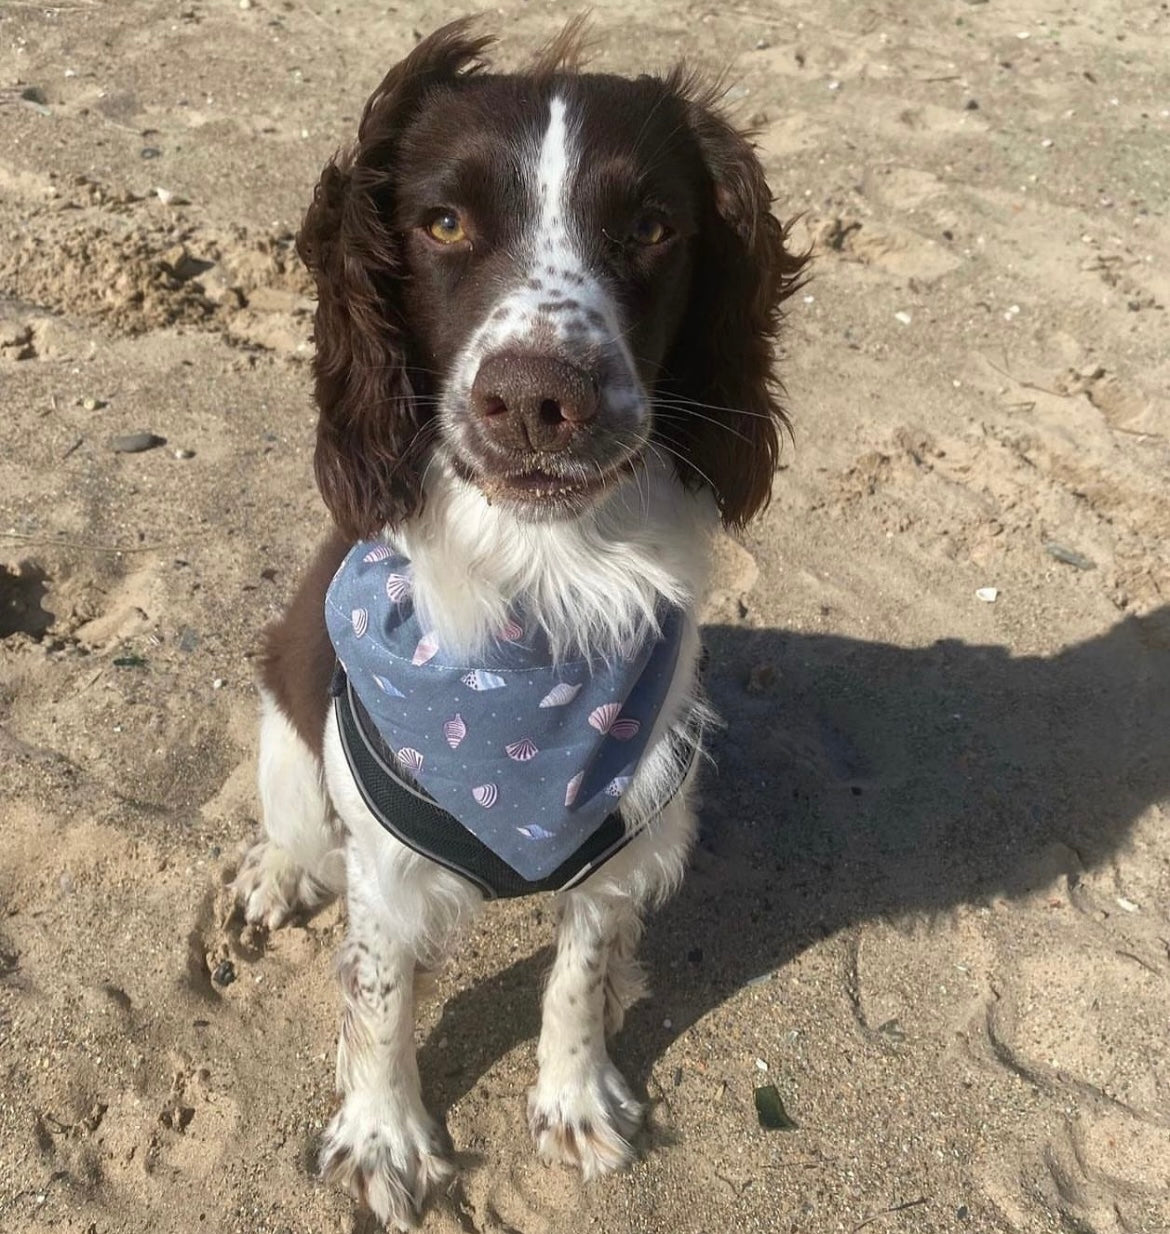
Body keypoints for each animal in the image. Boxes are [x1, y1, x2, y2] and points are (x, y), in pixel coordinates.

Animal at [236, 21, 804, 1234]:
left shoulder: (631, 814)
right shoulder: (386, 855)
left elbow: (580, 971)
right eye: (442, 222)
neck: (540, 599)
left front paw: (576, 1099)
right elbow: (379, 996)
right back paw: (273, 876)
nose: (543, 397)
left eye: (652, 226)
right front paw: (385, 1137)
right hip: (290, 741)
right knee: (294, 832)